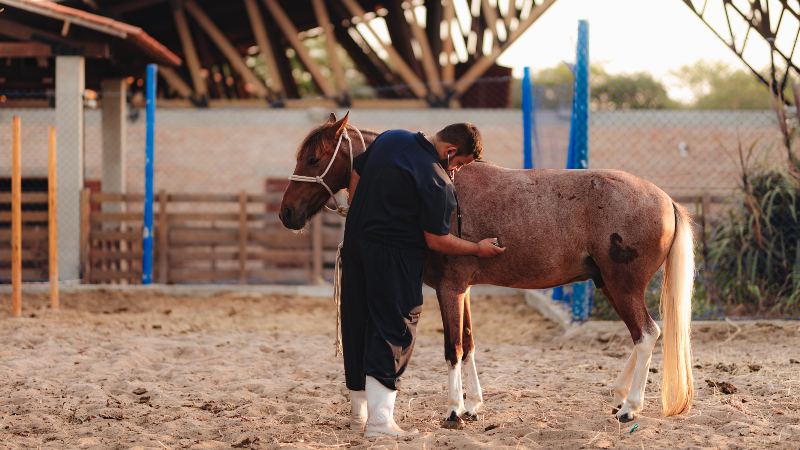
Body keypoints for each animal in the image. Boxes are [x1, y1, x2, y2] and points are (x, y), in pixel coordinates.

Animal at [280, 113, 692, 428]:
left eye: (314, 159)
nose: (286, 213)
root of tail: (665, 200)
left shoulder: (449, 289)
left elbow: (453, 348)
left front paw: (454, 411)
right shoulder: (462, 290)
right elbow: (469, 344)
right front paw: (473, 405)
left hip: (622, 288)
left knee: (646, 334)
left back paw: (629, 408)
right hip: (607, 284)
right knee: (644, 335)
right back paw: (620, 395)